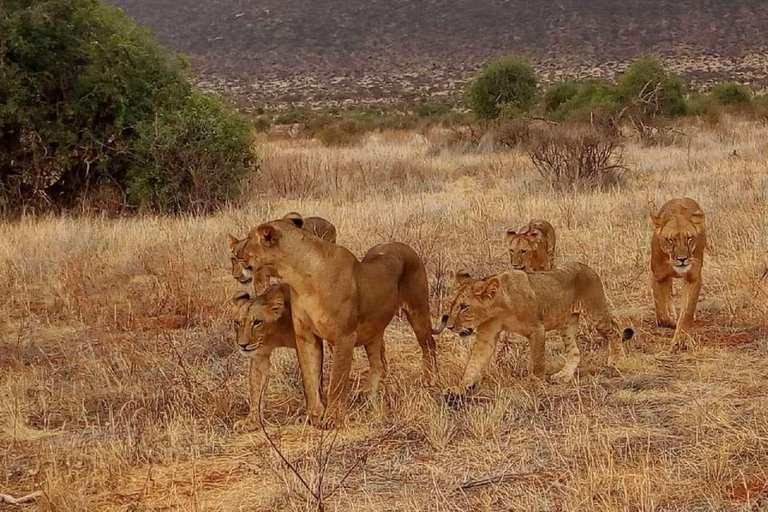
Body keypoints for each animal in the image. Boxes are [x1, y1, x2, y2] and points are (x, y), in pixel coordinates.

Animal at [228, 284, 384, 432]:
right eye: (237, 322)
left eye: (257, 322)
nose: (242, 345)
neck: (274, 332)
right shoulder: (260, 354)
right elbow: (255, 388)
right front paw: (251, 422)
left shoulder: (307, 339)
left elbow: (310, 380)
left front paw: (314, 414)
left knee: (379, 359)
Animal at [243, 216, 440, 428]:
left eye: (248, 239)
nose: (237, 256)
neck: (300, 279)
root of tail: (405, 246)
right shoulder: (306, 337)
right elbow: (310, 379)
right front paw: (314, 415)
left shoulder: (344, 337)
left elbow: (337, 381)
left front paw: (332, 419)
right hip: (374, 329)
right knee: (378, 363)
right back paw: (367, 393)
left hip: (418, 311)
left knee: (429, 344)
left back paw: (431, 378)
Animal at [436, 262, 632, 402]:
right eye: (453, 305)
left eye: (464, 307)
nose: (450, 326)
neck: (500, 307)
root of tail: (587, 267)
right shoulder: (487, 335)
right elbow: (473, 364)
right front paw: (459, 388)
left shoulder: (537, 329)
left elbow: (537, 361)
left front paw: (536, 385)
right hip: (567, 323)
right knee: (575, 351)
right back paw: (563, 375)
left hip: (595, 313)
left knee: (615, 329)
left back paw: (618, 360)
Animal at [652, 198, 704, 350]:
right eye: (670, 240)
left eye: (689, 238)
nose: (682, 259)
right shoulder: (658, 276)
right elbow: (662, 313)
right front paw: (671, 323)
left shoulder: (693, 278)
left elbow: (687, 312)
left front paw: (682, 339)